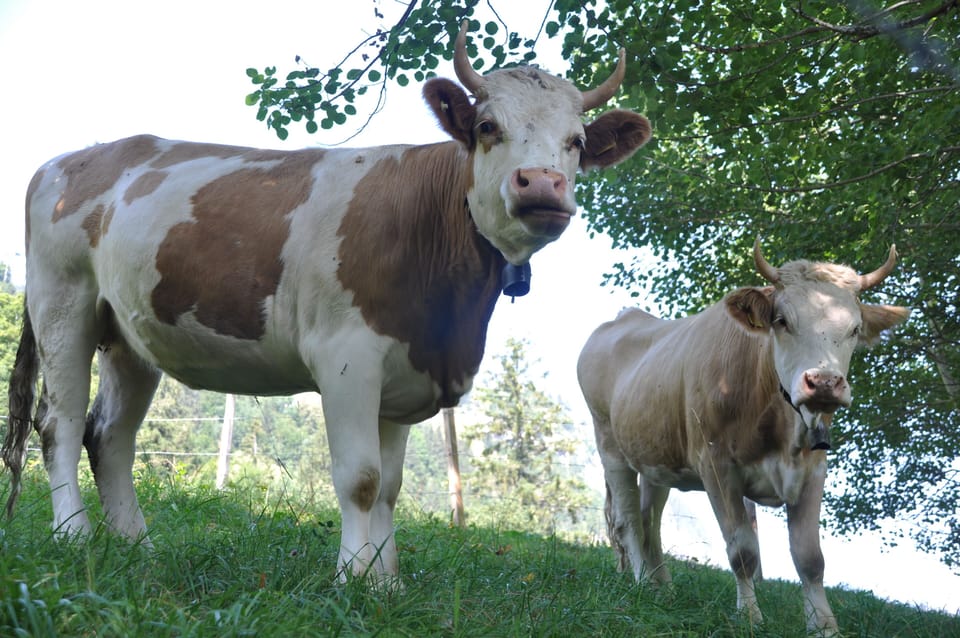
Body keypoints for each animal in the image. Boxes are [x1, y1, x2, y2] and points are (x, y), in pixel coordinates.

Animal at [2, 20, 651, 585]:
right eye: (488, 126)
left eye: (576, 143)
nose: (542, 184)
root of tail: (71, 158)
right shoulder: (347, 356)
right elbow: (360, 478)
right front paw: (352, 578)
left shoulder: (405, 373)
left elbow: (389, 486)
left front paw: (385, 583)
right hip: (64, 305)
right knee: (58, 424)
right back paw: (74, 536)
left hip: (130, 334)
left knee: (109, 435)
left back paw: (137, 545)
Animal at [577, 240, 910, 635]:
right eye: (782, 321)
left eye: (855, 329)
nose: (825, 382)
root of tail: (624, 318)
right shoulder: (717, 467)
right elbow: (742, 551)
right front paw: (750, 616)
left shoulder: (814, 469)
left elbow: (810, 558)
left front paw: (825, 626)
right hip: (610, 446)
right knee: (627, 521)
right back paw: (643, 583)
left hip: (655, 459)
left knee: (648, 523)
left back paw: (663, 591)